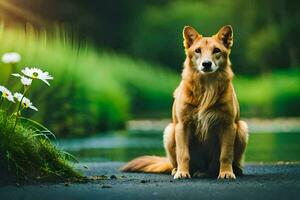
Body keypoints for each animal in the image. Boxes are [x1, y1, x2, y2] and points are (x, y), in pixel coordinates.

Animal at [120, 25, 248, 180]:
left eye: (216, 50)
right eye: (197, 50)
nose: (206, 64)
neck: (207, 89)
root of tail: (205, 169)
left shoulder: (228, 126)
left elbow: (226, 154)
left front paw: (226, 173)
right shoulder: (182, 126)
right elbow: (183, 154)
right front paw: (182, 172)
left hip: (242, 129)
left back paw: (234, 169)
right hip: (170, 132)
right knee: (177, 162)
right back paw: (180, 170)